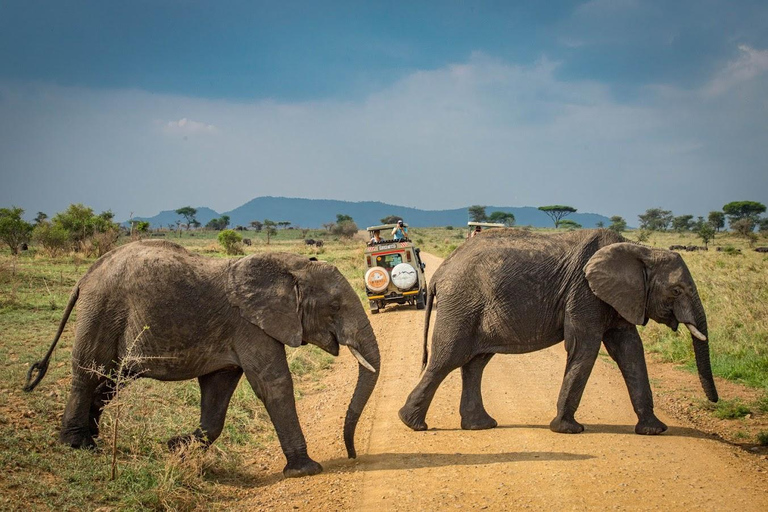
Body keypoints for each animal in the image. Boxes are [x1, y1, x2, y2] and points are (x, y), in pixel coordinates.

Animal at [24, 239, 380, 476]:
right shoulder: (250, 324)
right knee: (89, 373)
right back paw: (75, 445)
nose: (352, 455)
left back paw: (92, 441)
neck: (292, 268)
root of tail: (86, 276)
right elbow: (273, 384)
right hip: (101, 312)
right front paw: (306, 470)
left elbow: (218, 392)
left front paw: (174, 447)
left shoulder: (235, 335)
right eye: (334, 306)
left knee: (108, 383)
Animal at [400, 229, 716, 436]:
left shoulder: (619, 297)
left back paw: (479, 425)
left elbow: (630, 351)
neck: (640, 249)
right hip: (462, 304)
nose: (714, 401)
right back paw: (412, 424)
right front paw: (568, 430)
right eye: (676, 291)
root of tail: (439, 273)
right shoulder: (584, 292)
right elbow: (585, 348)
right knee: (447, 359)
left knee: (475, 362)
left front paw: (654, 430)